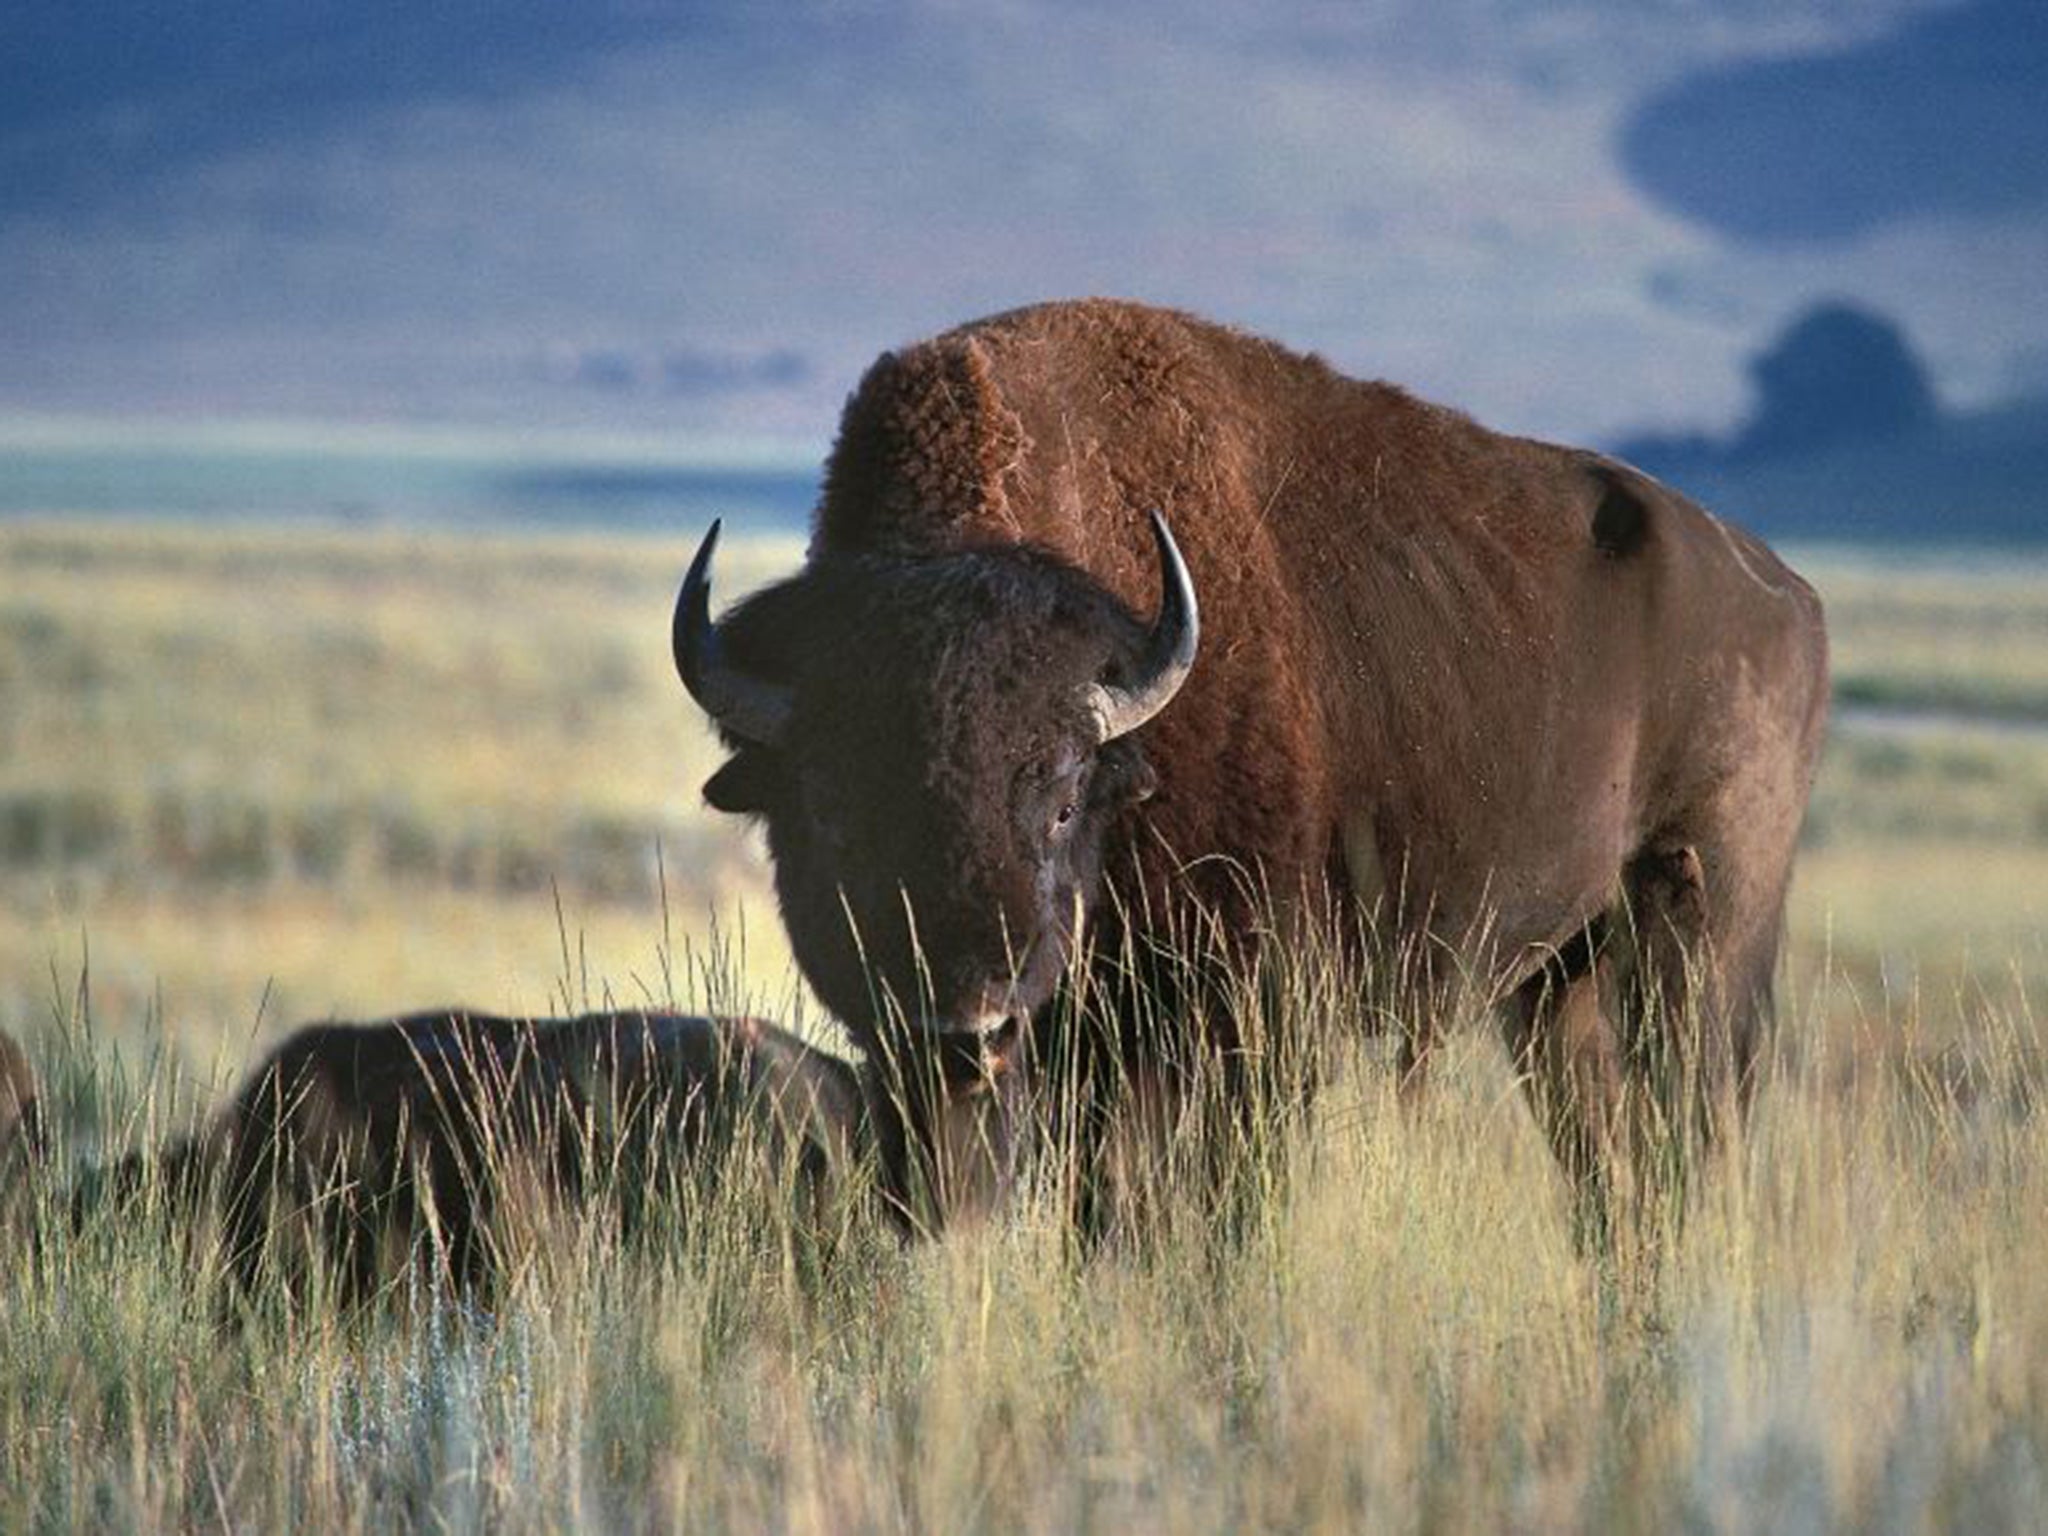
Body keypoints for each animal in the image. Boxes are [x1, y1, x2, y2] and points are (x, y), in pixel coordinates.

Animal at [679, 303, 1835, 1236]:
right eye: (831, 810)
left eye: (1061, 799)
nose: (964, 1023)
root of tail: (1782, 589)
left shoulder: (1247, 1020)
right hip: (1564, 980)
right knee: (1607, 1162)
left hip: (1703, 938)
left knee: (1691, 1133)